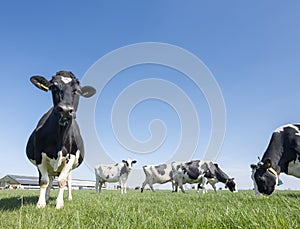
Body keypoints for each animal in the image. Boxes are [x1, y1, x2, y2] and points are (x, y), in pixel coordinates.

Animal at [26, 70, 96, 208]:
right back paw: (47, 197)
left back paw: (68, 197)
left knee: (68, 181)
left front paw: (59, 204)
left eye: (77, 90)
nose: (65, 110)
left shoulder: (72, 156)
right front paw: (41, 204)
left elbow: (62, 181)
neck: (59, 139)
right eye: (54, 87)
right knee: (50, 179)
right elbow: (43, 181)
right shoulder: (39, 155)